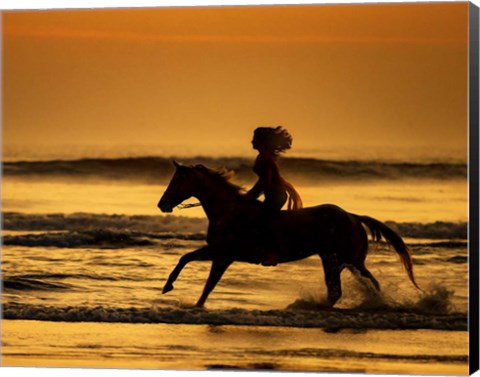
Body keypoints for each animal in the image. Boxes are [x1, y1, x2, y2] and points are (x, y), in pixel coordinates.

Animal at [157, 160, 416, 306]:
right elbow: (188, 261)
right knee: (347, 289)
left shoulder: (223, 255)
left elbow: (206, 282)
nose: (162, 204)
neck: (228, 210)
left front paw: (181, 296)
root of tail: (353, 216)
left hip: (343, 261)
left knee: (351, 288)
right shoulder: (219, 252)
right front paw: (169, 287)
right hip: (339, 260)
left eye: (176, 181)